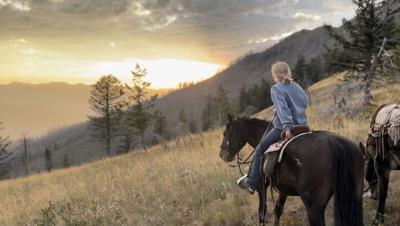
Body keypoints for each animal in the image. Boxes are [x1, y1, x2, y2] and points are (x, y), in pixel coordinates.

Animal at [220, 115, 364, 225]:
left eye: (225, 133)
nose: (222, 154)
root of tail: (335, 144)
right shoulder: (283, 189)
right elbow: (278, 209)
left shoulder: (262, 186)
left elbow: (262, 213)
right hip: (354, 196)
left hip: (313, 206)